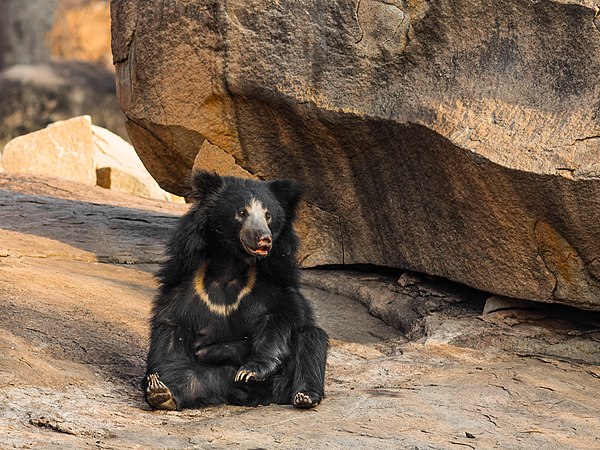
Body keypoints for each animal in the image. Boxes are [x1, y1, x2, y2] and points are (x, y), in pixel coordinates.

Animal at [143, 171, 328, 410]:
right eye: (241, 212)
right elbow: (172, 327)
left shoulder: (274, 281)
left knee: (311, 338)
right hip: (217, 378)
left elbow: (278, 319)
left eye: (268, 215)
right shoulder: (186, 284)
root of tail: (254, 397)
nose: (264, 239)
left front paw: (251, 371)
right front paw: (155, 381)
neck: (230, 263)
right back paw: (162, 393)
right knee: (189, 378)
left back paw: (305, 396)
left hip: (284, 381)